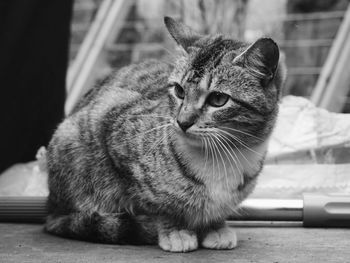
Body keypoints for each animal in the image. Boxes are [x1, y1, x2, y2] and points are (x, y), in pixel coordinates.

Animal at [44, 17, 284, 254]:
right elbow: (156, 205)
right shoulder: (112, 121)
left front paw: (215, 227)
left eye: (218, 99)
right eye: (179, 91)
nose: (183, 122)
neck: (223, 154)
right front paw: (175, 230)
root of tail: (51, 207)